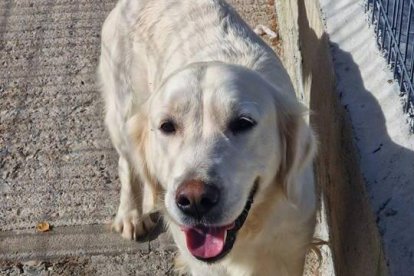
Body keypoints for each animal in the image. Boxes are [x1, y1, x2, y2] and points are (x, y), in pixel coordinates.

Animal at [98, 0, 316, 274]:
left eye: (243, 123)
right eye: (167, 126)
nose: (195, 200)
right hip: (122, 112)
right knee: (126, 162)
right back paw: (131, 214)